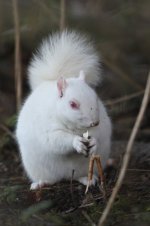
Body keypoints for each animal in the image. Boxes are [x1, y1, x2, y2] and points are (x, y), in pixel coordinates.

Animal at [15, 30, 111, 190]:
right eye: (72, 104)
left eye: (96, 97)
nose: (94, 122)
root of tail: (65, 176)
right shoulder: (47, 128)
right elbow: (55, 140)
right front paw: (76, 142)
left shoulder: (101, 126)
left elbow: (99, 133)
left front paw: (94, 141)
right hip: (37, 168)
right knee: (50, 179)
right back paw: (41, 183)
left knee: (79, 175)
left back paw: (88, 179)